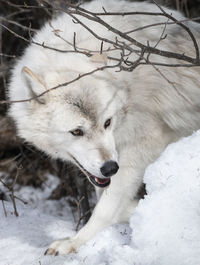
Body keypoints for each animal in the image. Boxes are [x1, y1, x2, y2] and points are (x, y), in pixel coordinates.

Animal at [7, 0, 200, 255]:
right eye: (77, 132)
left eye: (107, 123)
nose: (110, 168)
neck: (128, 89)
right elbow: (108, 197)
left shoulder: (143, 144)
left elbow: (106, 207)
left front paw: (74, 242)